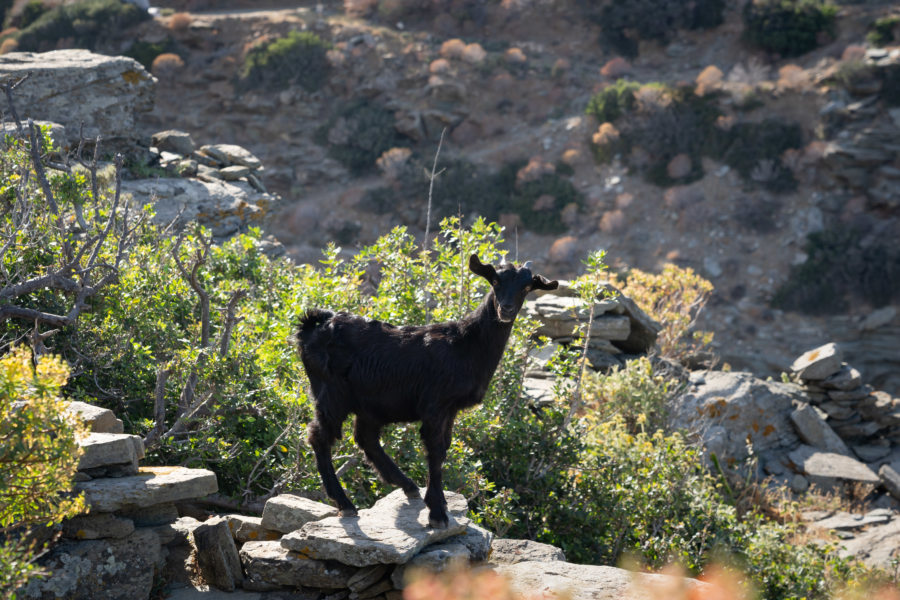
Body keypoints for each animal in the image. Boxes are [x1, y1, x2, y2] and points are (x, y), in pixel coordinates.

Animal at [298, 255, 560, 528]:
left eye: (526, 287)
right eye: (496, 281)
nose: (506, 309)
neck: (465, 342)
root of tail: (311, 325)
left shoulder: (451, 409)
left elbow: (444, 448)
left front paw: (440, 503)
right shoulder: (435, 404)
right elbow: (435, 450)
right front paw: (437, 513)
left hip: (370, 402)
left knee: (365, 437)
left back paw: (407, 486)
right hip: (331, 393)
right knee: (320, 436)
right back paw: (345, 503)